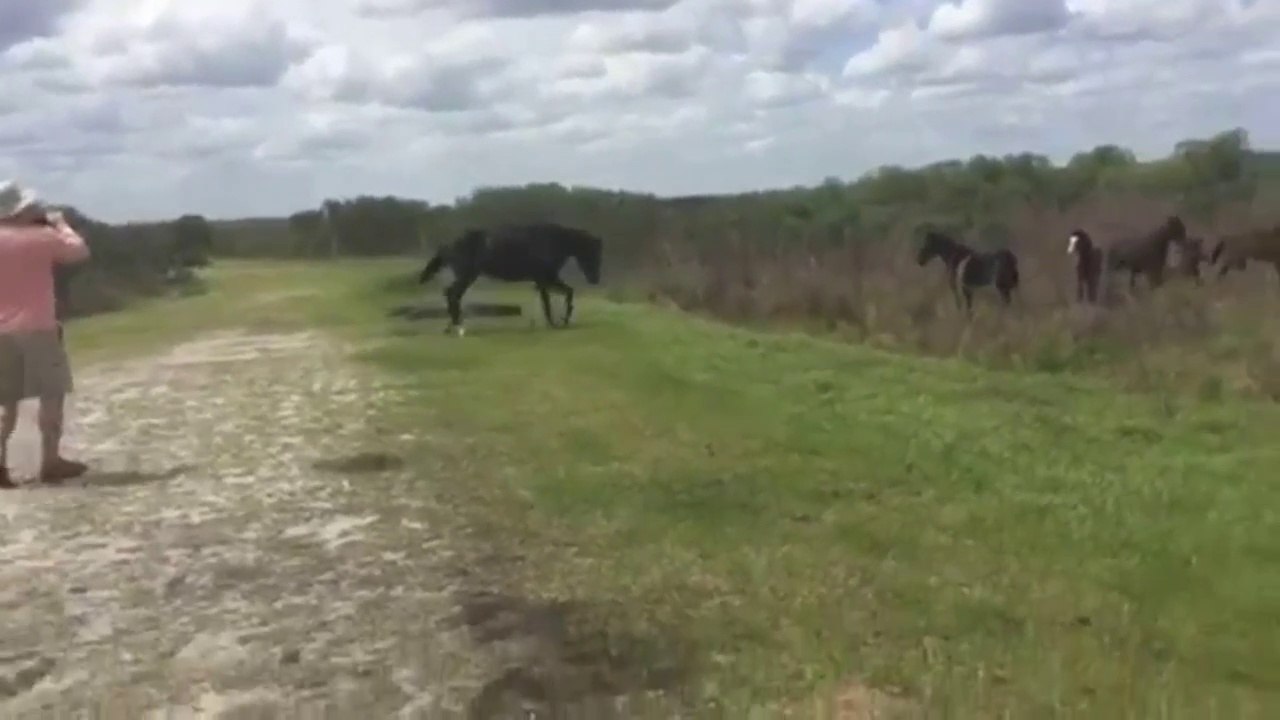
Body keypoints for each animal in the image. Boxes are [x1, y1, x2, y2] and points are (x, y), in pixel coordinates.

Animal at [417, 222, 603, 335]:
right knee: (452, 294)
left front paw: (557, 321)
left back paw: (453, 326)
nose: (595, 279)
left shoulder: (544, 280)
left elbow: (557, 296)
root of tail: (448, 244)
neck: (552, 241)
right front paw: (558, 322)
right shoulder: (545, 279)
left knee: (452, 295)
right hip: (466, 275)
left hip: (467, 276)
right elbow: (552, 300)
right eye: (592, 253)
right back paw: (458, 326)